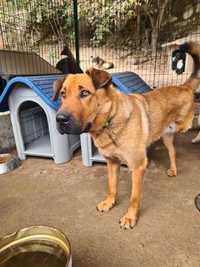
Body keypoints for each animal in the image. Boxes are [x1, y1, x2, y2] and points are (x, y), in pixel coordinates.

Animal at [52, 42, 200, 230]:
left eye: (84, 93)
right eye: (63, 94)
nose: (60, 119)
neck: (110, 120)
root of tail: (183, 86)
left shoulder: (137, 167)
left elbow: (134, 198)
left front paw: (130, 217)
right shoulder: (112, 163)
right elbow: (112, 186)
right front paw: (109, 202)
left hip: (184, 125)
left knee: (193, 123)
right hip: (166, 135)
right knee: (172, 152)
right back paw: (173, 169)